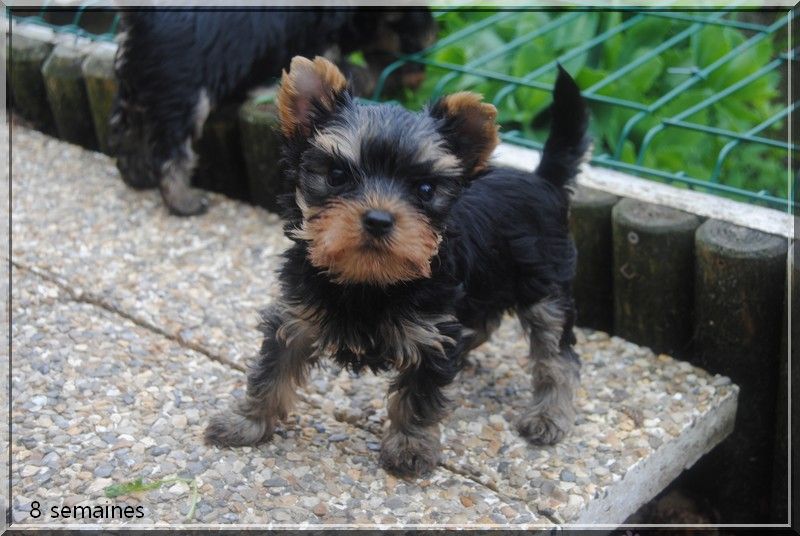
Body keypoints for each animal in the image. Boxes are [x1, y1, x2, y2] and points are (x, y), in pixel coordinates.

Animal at [108, 8, 434, 216]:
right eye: (408, 27)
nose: (429, 41)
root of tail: (138, 17)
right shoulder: (316, 49)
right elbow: (355, 71)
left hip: (136, 85)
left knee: (126, 135)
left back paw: (136, 177)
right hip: (183, 93)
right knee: (170, 154)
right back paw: (184, 202)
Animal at [203, 55, 592, 478]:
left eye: (424, 189)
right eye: (337, 175)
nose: (378, 219)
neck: (368, 279)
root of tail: (543, 180)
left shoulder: (431, 335)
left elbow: (418, 396)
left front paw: (410, 446)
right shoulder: (295, 318)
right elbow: (270, 372)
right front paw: (246, 421)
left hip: (546, 288)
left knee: (557, 355)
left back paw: (548, 414)